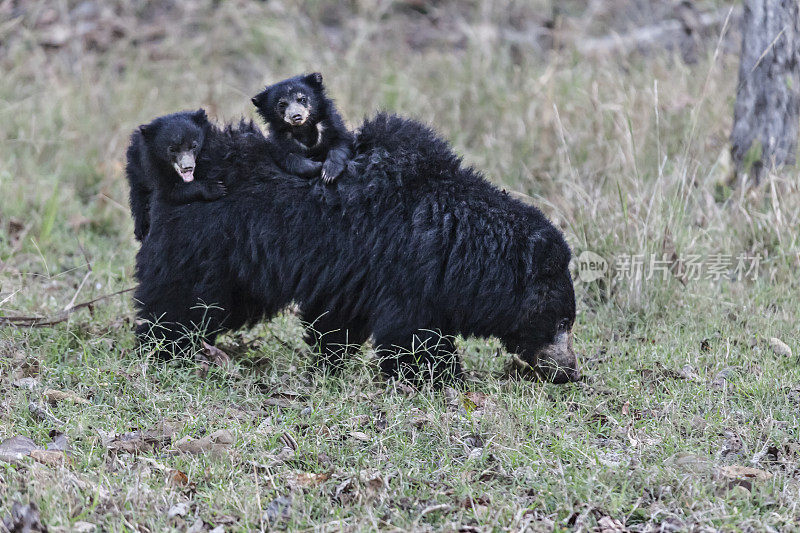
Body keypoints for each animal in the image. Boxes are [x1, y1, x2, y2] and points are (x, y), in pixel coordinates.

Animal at [134, 114, 580, 384]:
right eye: (560, 323)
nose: (570, 371)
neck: (456, 243)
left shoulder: (353, 274)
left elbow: (336, 319)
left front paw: (330, 362)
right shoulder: (405, 271)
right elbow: (412, 332)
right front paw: (438, 376)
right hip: (206, 247)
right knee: (175, 301)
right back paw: (163, 350)